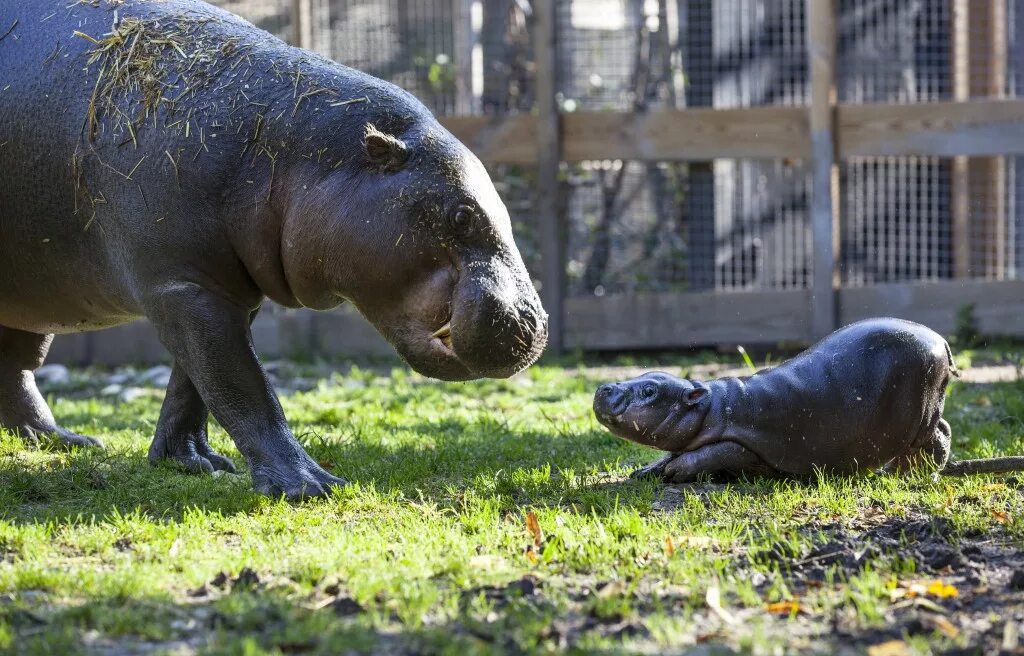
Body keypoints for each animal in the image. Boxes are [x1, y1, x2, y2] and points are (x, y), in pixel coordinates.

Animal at [0, 0, 548, 499]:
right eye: (462, 215)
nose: (533, 321)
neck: (285, 152)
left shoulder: (223, 290)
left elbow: (193, 386)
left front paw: (193, 463)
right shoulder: (185, 287)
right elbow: (243, 385)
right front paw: (313, 486)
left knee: (17, 369)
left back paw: (64, 441)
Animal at [593, 317, 1024, 480]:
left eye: (650, 390)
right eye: (643, 375)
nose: (603, 388)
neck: (711, 404)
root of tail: (943, 343)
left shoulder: (744, 444)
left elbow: (711, 453)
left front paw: (675, 472)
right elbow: (670, 451)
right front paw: (646, 470)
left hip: (923, 414)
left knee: (941, 436)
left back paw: (914, 474)